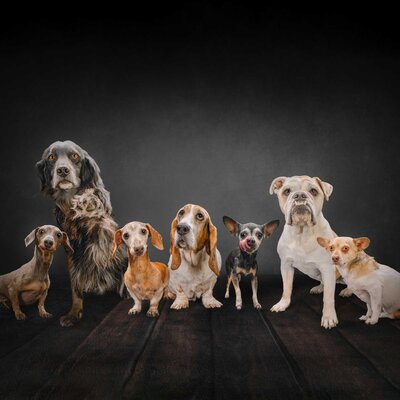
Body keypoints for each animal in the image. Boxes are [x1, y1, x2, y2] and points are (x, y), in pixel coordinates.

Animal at [37, 139, 126, 326]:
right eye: (51, 157)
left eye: (74, 156)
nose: (63, 170)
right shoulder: (70, 248)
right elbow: (75, 284)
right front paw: (74, 312)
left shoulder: (105, 232)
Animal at [270, 175, 340, 328]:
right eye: (287, 191)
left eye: (313, 191)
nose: (300, 195)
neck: (302, 233)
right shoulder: (286, 265)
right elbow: (286, 288)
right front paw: (283, 304)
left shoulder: (328, 268)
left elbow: (328, 297)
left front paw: (329, 317)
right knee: (324, 283)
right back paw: (319, 288)